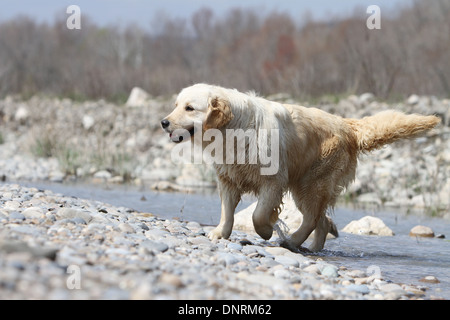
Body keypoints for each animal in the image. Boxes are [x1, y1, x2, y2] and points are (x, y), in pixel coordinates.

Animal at [161, 84, 440, 252]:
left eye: (189, 108)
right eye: (175, 105)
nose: (163, 122)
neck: (234, 130)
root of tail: (347, 125)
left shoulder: (273, 180)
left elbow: (258, 215)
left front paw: (265, 231)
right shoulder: (228, 178)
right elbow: (227, 212)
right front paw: (220, 233)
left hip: (311, 183)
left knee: (312, 218)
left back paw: (293, 241)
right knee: (322, 220)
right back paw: (313, 248)